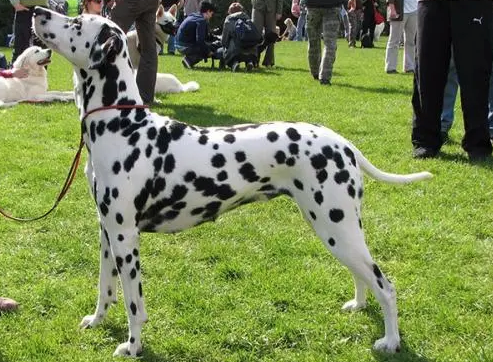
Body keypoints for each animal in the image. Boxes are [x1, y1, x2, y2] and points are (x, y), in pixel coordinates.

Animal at [31, 7, 430, 358]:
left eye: (77, 22)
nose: (36, 11)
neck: (123, 126)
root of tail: (342, 143)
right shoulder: (107, 231)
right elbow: (105, 288)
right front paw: (96, 321)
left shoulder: (126, 237)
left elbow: (133, 304)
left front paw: (132, 346)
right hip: (338, 231)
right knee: (364, 277)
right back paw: (359, 306)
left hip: (338, 228)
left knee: (386, 286)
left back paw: (390, 342)